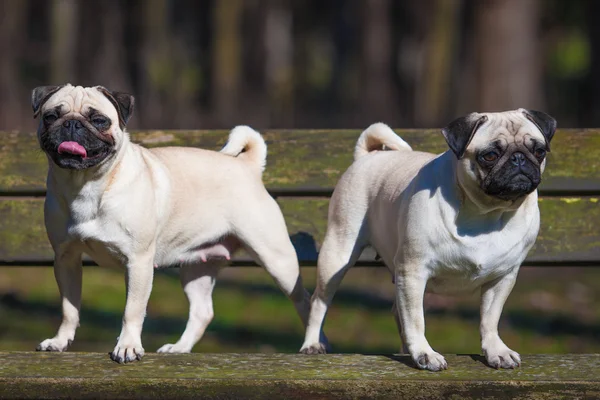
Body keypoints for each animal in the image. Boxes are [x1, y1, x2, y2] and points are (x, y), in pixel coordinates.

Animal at [31, 83, 314, 362]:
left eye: (99, 120)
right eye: (51, 116)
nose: (71, 124)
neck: (86, 185)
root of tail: (247, 166)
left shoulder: (138, 262)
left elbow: (132, 310)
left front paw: (128, 346)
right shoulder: (66, 258)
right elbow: (69, 308)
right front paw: (60, 341)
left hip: (277, 259)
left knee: (305, 301)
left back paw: (312, 344)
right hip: (196, 268)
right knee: (202, 312)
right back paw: (180, 348)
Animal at [300, 109, 556, 372]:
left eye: (539, 151)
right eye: (490, 155)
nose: (519, 159)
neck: (485, 212)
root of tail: (368, 156)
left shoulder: (503, 278)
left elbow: (490, 319)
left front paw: (496, 351)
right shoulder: (413, 272)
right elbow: (416, 319)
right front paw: (425, 353)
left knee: (397, 311)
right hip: (338, 254)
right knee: (319, 301)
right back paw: (313, 344)